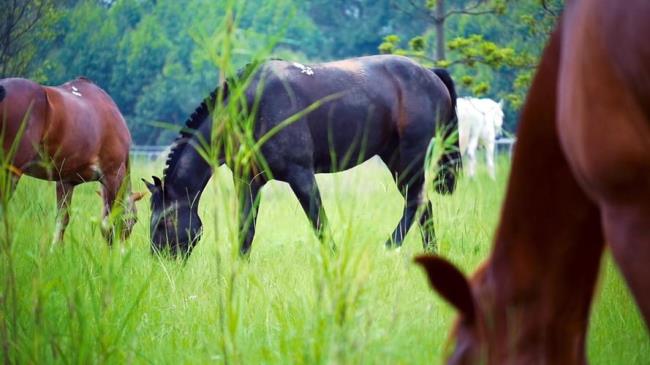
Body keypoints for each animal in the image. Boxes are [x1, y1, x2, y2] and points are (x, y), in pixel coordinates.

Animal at [0, 76, 143, 242]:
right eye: (135, 219)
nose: (124, 242)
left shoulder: (65, 181)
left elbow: (62, 220)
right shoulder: (112, 175)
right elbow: (112, 218)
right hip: (10, 171)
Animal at [144, 55, 458, 258]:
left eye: (163, 223)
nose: (160, 261)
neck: (252, 104)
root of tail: (432, 73)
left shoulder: (301, 175)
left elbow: (319, 223)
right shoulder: (248, 181)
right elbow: (246, 230)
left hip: (410, 159)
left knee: (416, 203)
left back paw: (389, 248)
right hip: (395, 159)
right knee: (422, 204)